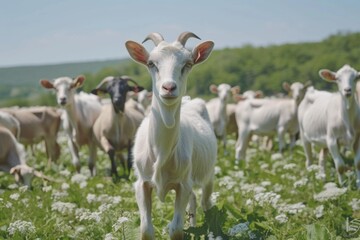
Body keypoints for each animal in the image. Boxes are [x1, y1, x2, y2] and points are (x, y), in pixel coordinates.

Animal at [126, 32, 217, 240]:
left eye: (188, 63)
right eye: (151, 63)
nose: (169, 88)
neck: (161, 151)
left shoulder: (182, 184)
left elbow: (176, 229)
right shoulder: (142, 183)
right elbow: (146, 229)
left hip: (207, 173)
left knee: (206, 203)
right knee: (194, 202)